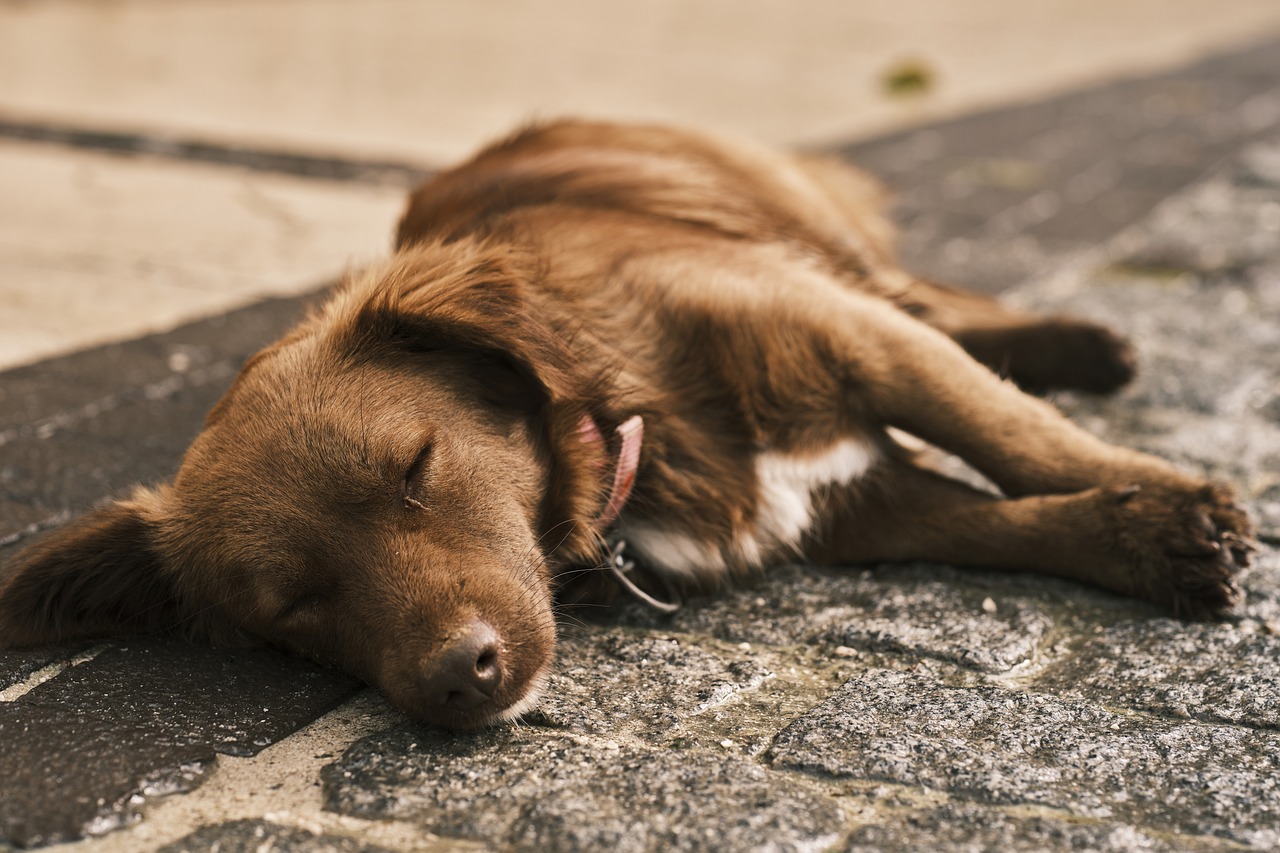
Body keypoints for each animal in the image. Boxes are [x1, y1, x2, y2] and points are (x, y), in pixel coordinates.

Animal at [0, 119, 1259, 722]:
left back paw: (1076, 345)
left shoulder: (846, 331)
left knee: (931, 299)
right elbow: (999, 519)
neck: (626, 422)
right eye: (291, 607)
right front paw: (1141, 537)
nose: (458, 679)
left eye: (416, 467)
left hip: (810, 231)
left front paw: (1168, 501)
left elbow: (1010, 437)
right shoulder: (857, 502)